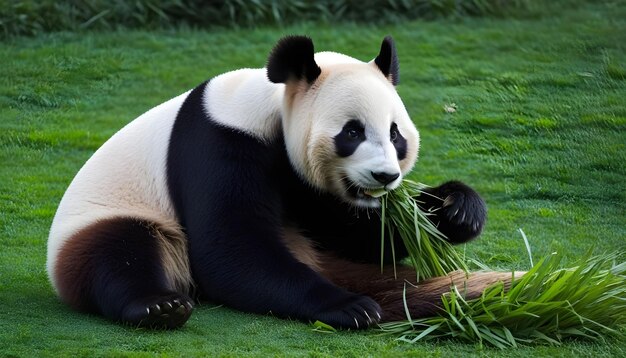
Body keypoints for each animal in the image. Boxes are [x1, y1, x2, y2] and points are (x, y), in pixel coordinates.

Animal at [46, 36, 490, 330]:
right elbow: (232, 248)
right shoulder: (219, 142)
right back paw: (158, 307)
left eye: (396, 135)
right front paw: (352, 307)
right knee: (119, 251)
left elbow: (354, 235)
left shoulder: (307, 186)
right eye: (352, 132)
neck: (272, 105)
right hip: (112, 215)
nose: (386, 176)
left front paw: (457, 209)